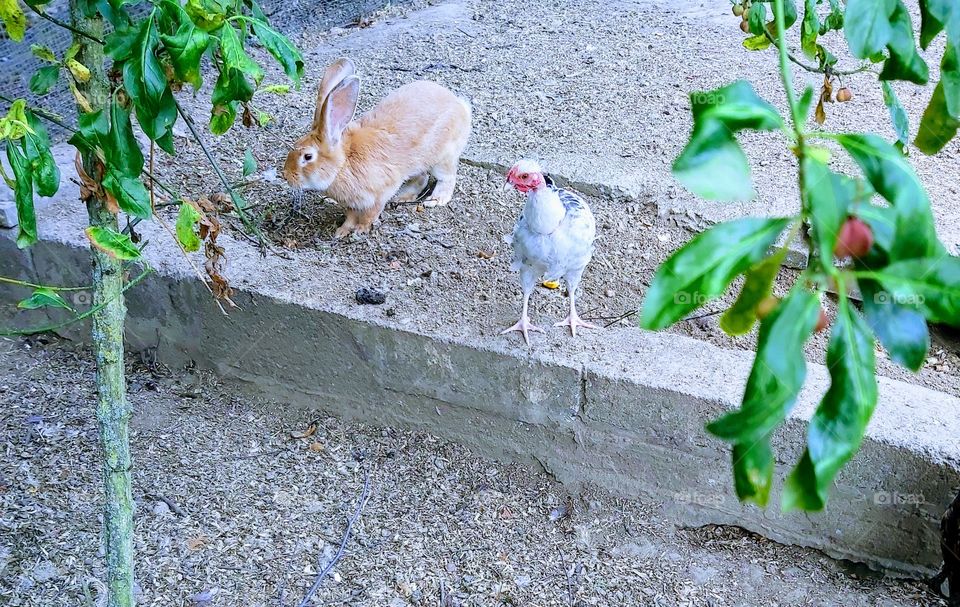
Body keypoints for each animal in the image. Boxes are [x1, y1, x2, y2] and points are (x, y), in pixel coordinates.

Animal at [283, 58, 473, 238]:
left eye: (307, 157)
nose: (286, 176)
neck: (342, 163)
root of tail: (460, 105)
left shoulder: (380, 193)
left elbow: (370, 214)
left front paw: (360, 230)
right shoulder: (352, 204)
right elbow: (350, 216)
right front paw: (342, 231)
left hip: (442, 157)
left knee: (447, 178)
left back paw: (436, 199)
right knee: (421, 178)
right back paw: (403, 197)